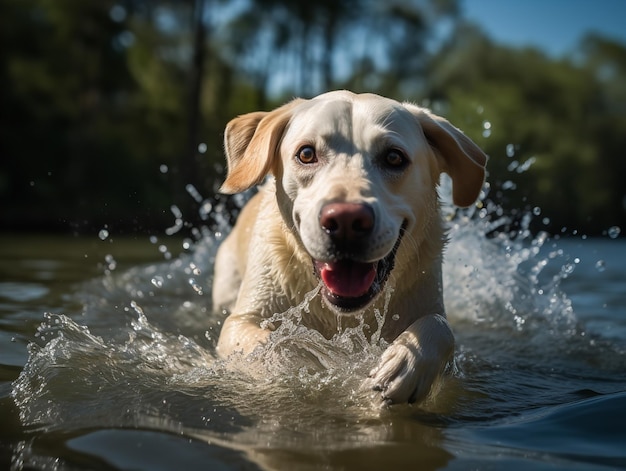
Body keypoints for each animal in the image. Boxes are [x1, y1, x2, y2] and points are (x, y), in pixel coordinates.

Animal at [212, 90, 486, 404]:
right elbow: (273, 343)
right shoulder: (241, 321)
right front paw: (299, 363)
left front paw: (403, 366)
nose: (346, 220)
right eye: (306, 154)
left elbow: (441, 326)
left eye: (394, 157)